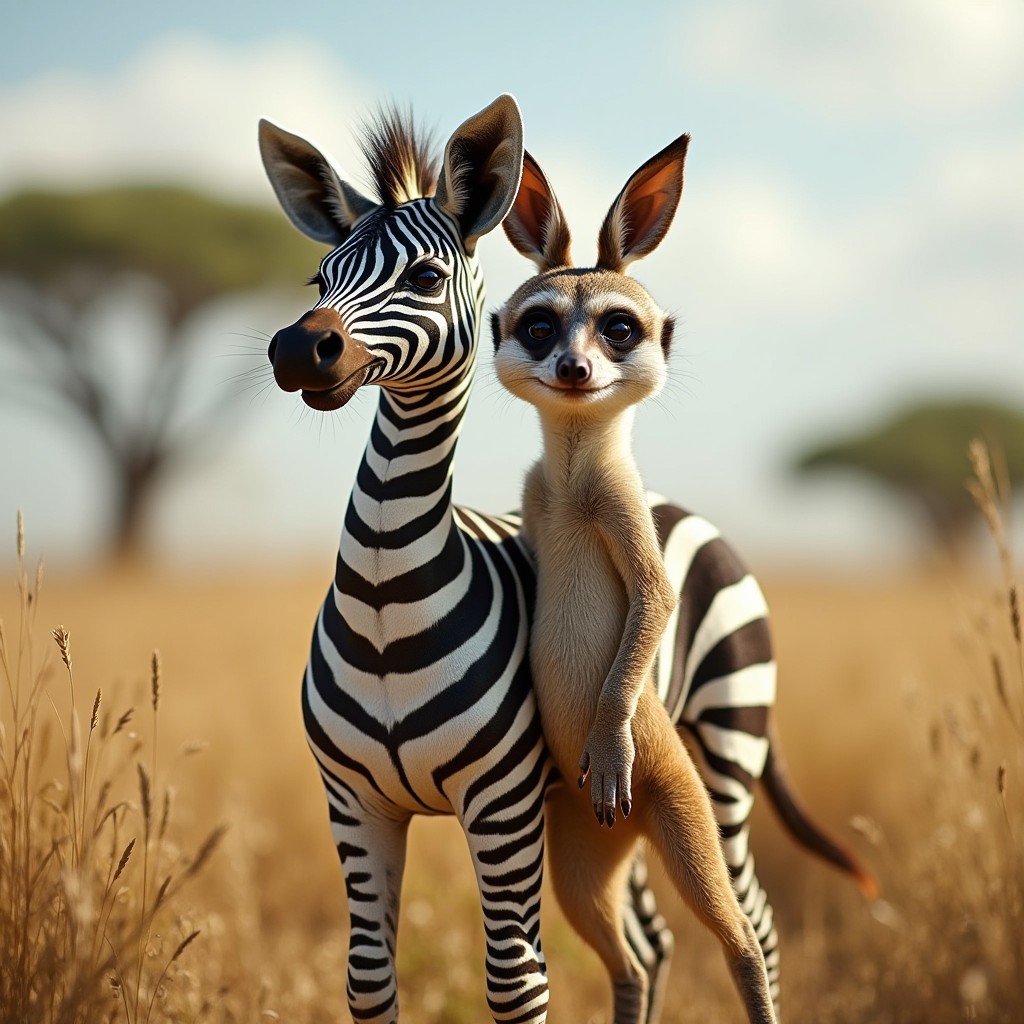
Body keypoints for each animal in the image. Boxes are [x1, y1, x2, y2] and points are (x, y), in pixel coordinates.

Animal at [258, 97, 875, 1023]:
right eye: (318, 280)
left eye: (425, 280)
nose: (299, 353)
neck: (386, 597)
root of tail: (681, 505)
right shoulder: (354, 804)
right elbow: (368, 979)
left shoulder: (502, 804)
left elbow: (516, 983)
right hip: (604, 814)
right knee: (648, 942)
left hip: (724, 752)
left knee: (754, 924)